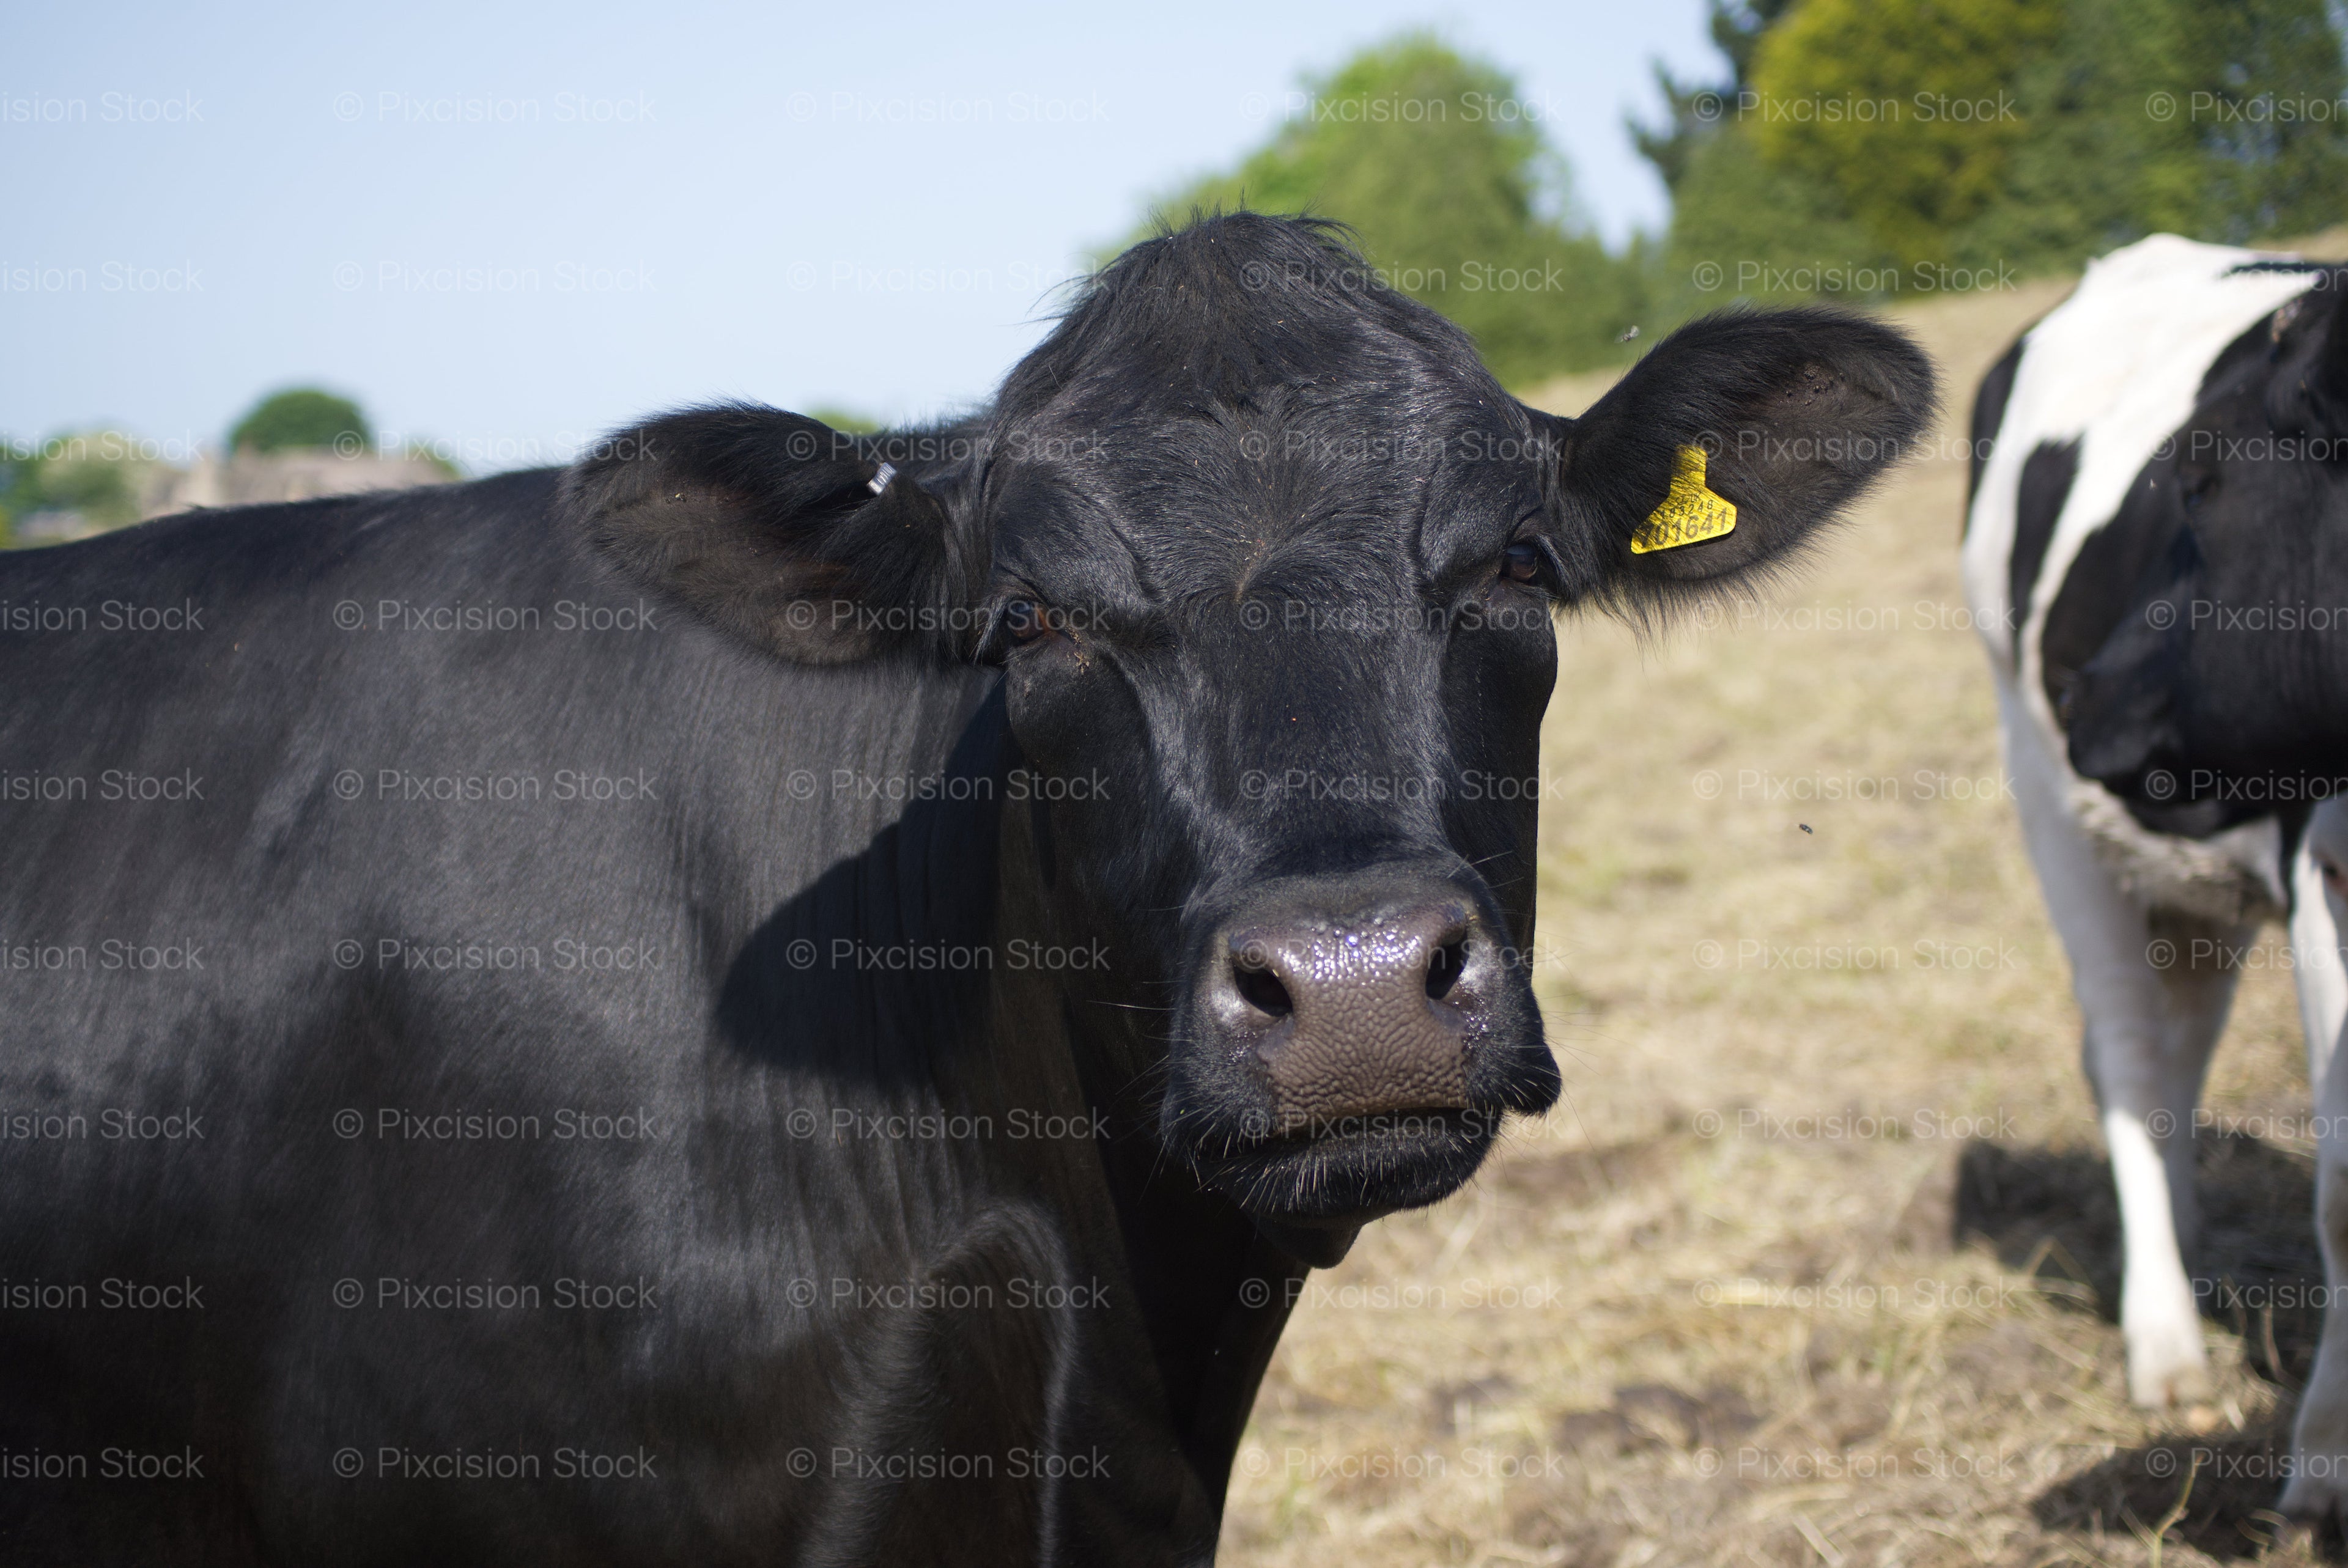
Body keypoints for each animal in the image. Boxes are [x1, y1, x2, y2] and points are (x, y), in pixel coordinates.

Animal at [1964, 232, 2348, 1522]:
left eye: (2206, 479)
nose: (2089, 692)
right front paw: (2323, 1464)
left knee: (2181, 1054)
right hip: (2055, 814)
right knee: (2130, 1065)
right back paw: (2165, 1339)